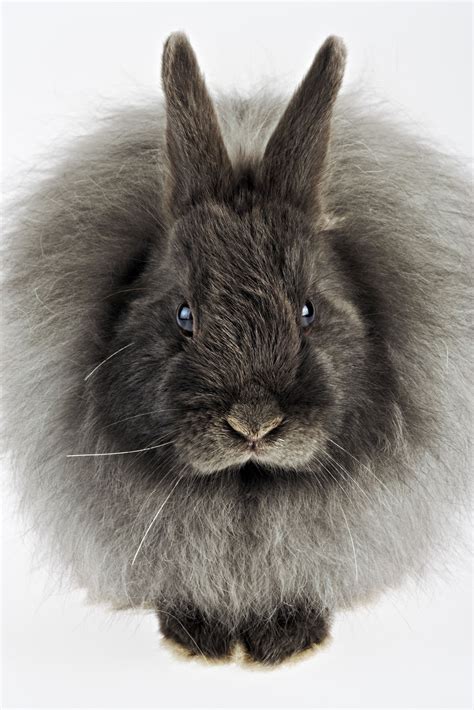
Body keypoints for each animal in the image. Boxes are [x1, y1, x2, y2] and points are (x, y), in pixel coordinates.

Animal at [2, 33, 471, 666]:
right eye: (184, 315)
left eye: (308, 310)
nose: (254, 424)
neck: (246, 489)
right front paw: (198, 640)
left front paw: (288, 641)